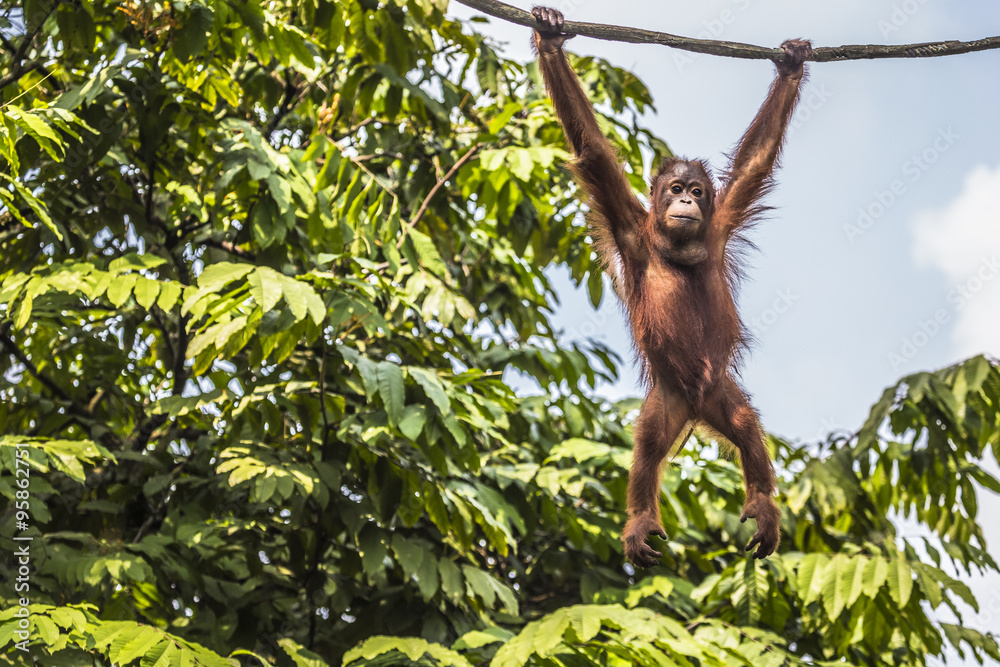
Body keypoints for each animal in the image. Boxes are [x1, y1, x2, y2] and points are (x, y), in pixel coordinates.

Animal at [530, 6, 812, 567]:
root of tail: (696, 407)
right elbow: (593, 152)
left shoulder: (720, 222)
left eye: (698, 192)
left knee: (745, 424)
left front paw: (791, 64)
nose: (685, 202)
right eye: (675, 189)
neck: (677, 244)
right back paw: (641, 519)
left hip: (719, 391)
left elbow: (755, 161)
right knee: (647, 447)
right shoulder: (628, 226)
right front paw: (549, 36)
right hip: (668, 398)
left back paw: (762, 505)